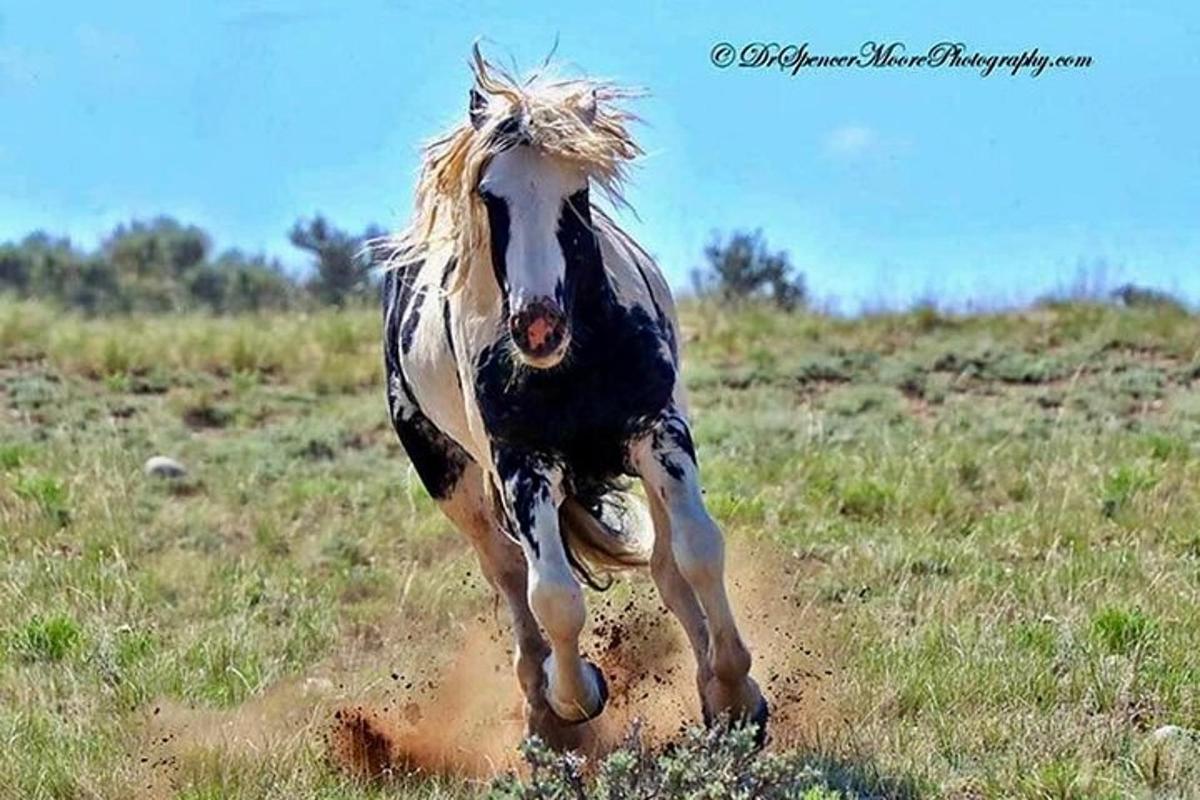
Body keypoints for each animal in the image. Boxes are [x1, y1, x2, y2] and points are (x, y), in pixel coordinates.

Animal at [379, 47, 763, 748]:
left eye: (576, 191)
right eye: (490, 194)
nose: (538, 326)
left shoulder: (659, 433)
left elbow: (698, 551)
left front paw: (733, 695)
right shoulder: (521, 466)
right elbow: (553, 595)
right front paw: (575, 696)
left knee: (665, 564)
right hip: (451, 477)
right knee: (509, 574)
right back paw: (541, 708)